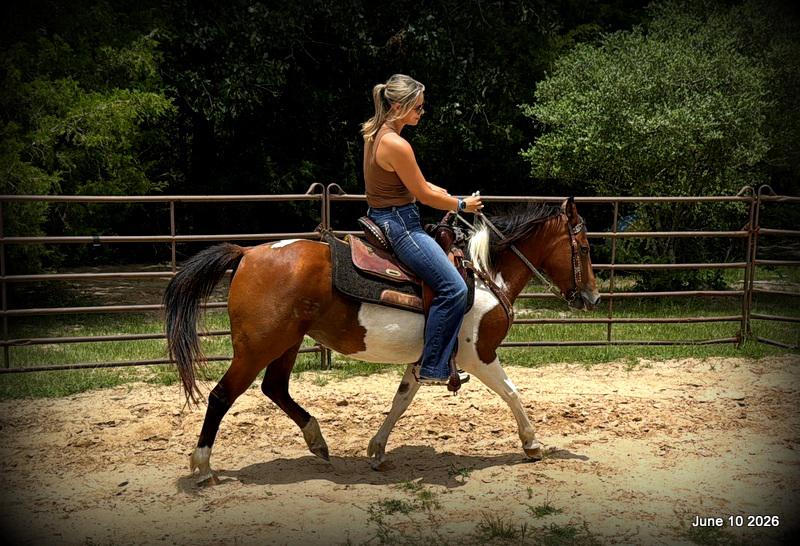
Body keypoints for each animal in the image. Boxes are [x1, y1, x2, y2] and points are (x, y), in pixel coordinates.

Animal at [163, 198, 599, 483]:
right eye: (584, 246)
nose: (592, 298)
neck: (484, 274)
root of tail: (247, 253)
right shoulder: (479, 355)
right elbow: (512, 393)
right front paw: (532, 444)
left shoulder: (426, 358)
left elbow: (400, 400)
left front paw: (376, 450)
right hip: (257, 347)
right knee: (222, 395)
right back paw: (202, 467)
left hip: (287, 342)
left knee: (275, 388)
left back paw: (317, 441)